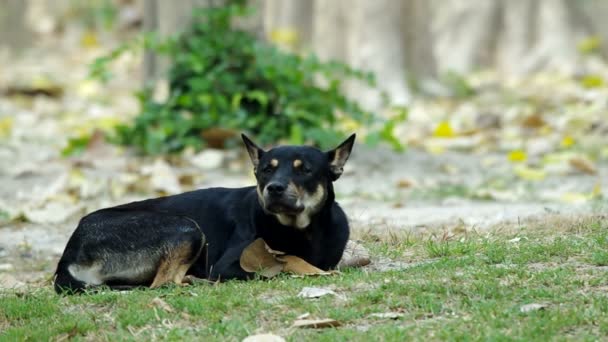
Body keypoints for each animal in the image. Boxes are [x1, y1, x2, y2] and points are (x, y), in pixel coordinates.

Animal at [54, 134, 356, 294]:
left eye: (305, 170)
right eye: (265, 171)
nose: (274, 188)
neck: (301, 229)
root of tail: (68, 254)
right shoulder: (229, 265)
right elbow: (288, 259)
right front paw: (312, 269)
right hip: (186, 228)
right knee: (162, 284)